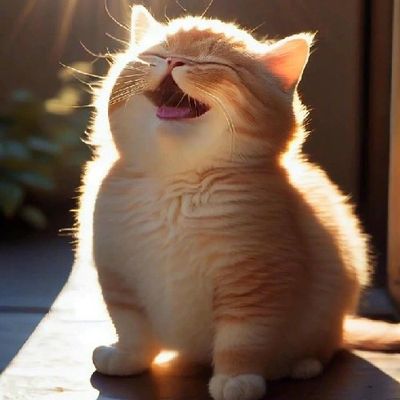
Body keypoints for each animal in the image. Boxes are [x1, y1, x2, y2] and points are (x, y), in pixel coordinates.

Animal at [75, 5, 400, 400]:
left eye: (210, 62)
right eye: (155, 53)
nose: (173, 61)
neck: (175, 185)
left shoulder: (253, 282)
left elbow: (241, 340)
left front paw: (236, 379)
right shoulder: (118, 273)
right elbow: (130, 325)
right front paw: (126, 357)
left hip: (325, 318)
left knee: (327, 346)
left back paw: (302, 365)